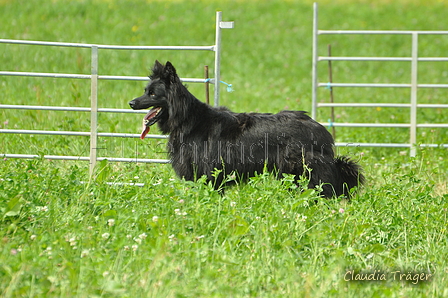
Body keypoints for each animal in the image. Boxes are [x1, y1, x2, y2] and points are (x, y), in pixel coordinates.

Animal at [128, 60, 362, 198]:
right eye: (145, 90)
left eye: (152, 94)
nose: (131, 103)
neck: (187, 118)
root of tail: (318, 128)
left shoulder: (211, 175)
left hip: (306, 171)